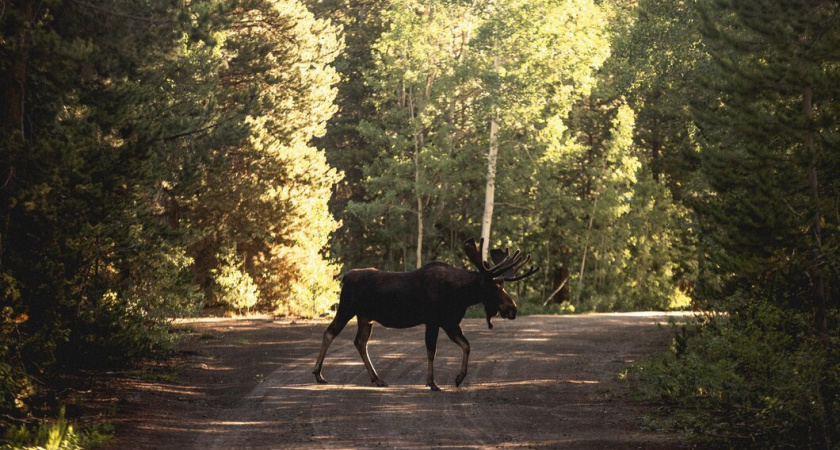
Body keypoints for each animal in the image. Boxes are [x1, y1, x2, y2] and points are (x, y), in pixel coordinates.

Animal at [310, 239, 540, 390]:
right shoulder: (434, 320)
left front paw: (459, 378)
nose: (512, 308)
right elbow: (432, 351)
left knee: (360, 342)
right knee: (329, 333)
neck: (461, 295)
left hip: (366, 317)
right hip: (347, 308)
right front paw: (432, 382)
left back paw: (377, 379)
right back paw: (318, 374)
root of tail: (345, 277)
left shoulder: (450, 322)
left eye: (503, 285)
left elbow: (466, 345)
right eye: (494, 287)